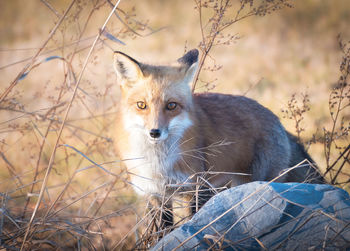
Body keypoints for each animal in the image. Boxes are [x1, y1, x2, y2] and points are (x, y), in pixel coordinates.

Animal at [112, 48, 322, 226]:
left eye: (171, 105)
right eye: (141, 105)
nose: (154, 132)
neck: (159, 163)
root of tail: (277, 120)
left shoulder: (196, 188)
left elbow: (192, 221)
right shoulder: (155, 194)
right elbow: (163, 231)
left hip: (259, 181)